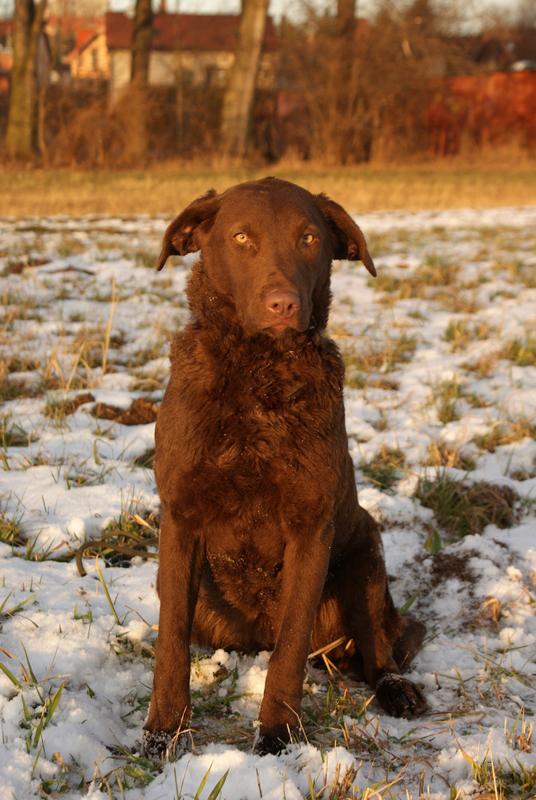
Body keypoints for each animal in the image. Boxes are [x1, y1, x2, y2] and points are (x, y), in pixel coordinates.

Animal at [143, 177, 426, 757]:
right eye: (241, 236)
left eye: (309, 238)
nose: (282, 304)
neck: (258, 381)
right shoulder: (180, 518)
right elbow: (171, 644)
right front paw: (165, 730)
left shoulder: (310, 527)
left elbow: (291, 650)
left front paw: (277, 734)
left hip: (366, 555)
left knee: (378, 649)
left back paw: (397, 688)